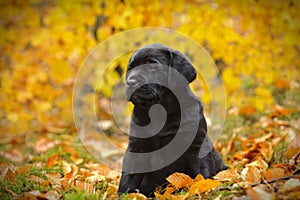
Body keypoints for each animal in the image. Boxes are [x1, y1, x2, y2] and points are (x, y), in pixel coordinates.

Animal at [118, 43, 226, 197]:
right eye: (130, 68)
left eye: (152, 66)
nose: (131, 82)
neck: (160, 112)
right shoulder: (137, 147)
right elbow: (128, 176)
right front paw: (125, 195)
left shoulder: (197, 144)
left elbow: (203, 171)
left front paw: (205, 188)